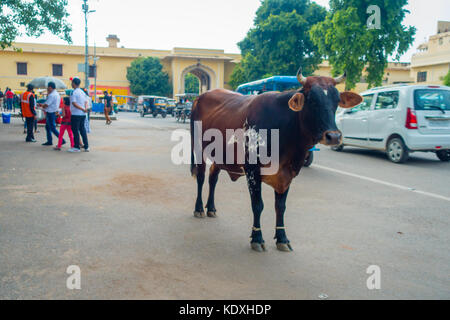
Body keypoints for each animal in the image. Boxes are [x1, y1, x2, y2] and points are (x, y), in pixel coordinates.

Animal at [190, 70, 362, 252]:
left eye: (336, 101)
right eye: (312, 100)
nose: (334, 136)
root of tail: (201, 96)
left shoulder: (287, 173)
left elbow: (280, 207)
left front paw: (282, 238)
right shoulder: (252, 171)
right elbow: (258, 205)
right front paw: (257, 238)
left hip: (219, 156)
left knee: (213, 178)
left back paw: (211, 208)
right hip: (198, 149)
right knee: (201, 177)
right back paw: (199, 208)